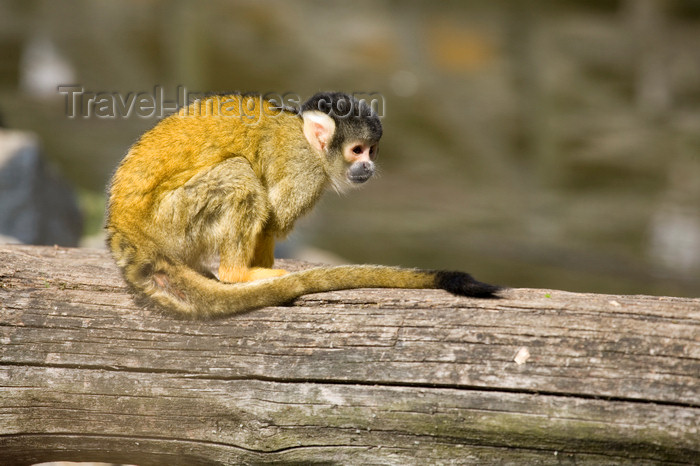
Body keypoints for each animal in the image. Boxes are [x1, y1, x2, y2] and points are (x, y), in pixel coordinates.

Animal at [105, 92, 498, 316]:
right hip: (172, 217)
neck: (307, 141)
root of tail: (123, 224)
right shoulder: (305, 169)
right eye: (357, 150)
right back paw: (238, 273)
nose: (368, 167)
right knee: (239, 174)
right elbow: (273, 220)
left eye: (372, 151)